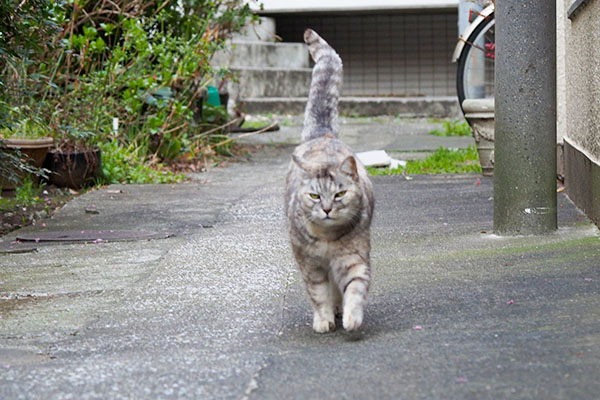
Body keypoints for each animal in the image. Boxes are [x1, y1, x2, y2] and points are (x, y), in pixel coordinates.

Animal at [284, 29, 372, 332]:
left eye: (339, 194)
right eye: (314, 195)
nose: (326, 209)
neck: (327, 240)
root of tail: (323, 133)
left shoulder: (354, 258)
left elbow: (355, 288)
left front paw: (352, 318)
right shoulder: (310, 265)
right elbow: (318, 293)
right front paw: (323, 320)